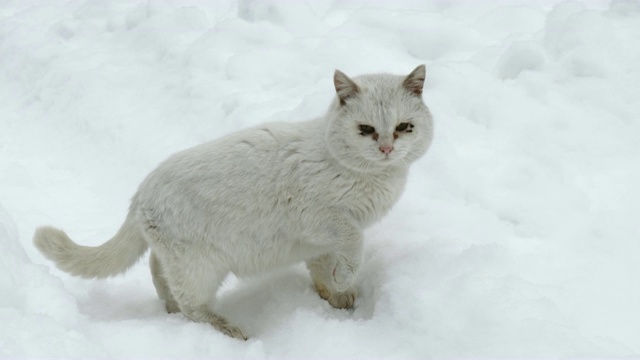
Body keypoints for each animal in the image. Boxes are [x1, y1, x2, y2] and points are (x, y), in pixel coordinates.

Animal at [35, 65, 436, 340]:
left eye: (403, 127)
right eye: (366, 130)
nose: (386, 148)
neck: (378, 179)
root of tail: (141, 192)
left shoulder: (320, 242)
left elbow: (323, 270)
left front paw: (336, 293)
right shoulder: (324, 219)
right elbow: (354, 244)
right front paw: (344, 278)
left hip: (176, 257)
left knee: (159, 275)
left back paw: (172, 309)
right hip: (200, 266)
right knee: (192, 307)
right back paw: (230, 331)